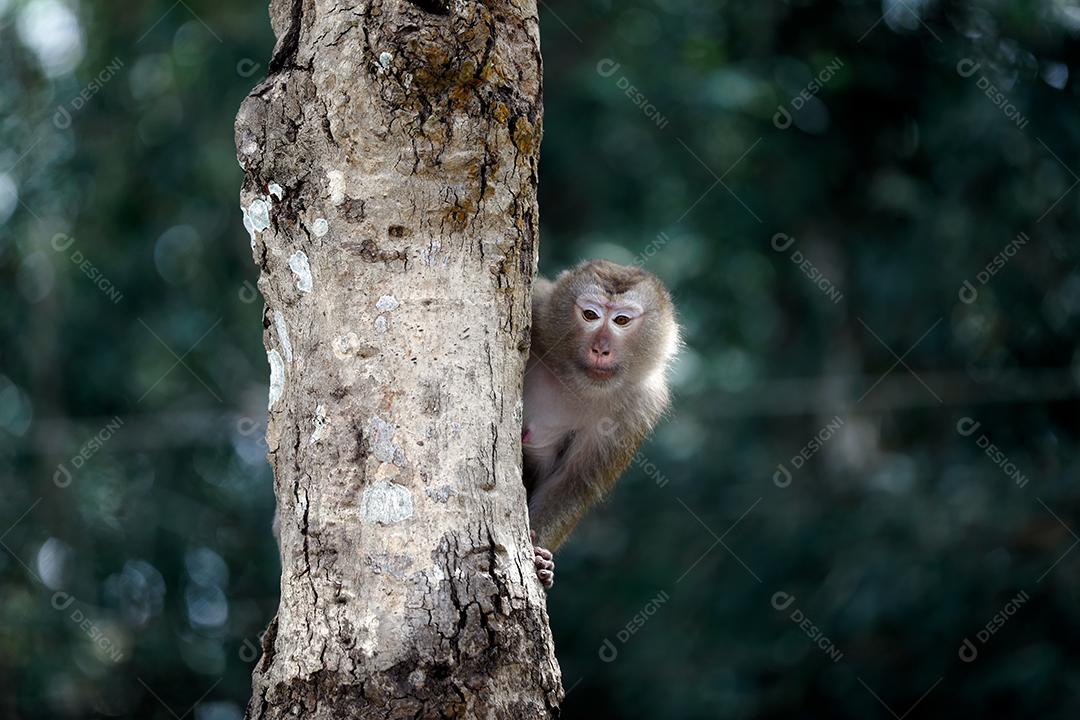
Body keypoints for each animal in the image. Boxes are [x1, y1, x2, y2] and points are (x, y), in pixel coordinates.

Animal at [522, 259, 680, 588]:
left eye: (621, 320)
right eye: (590, 315)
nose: (600, 348)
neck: (576, 382)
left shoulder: (639, 405)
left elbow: (574, 481)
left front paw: (539, 556)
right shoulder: (539, 310)